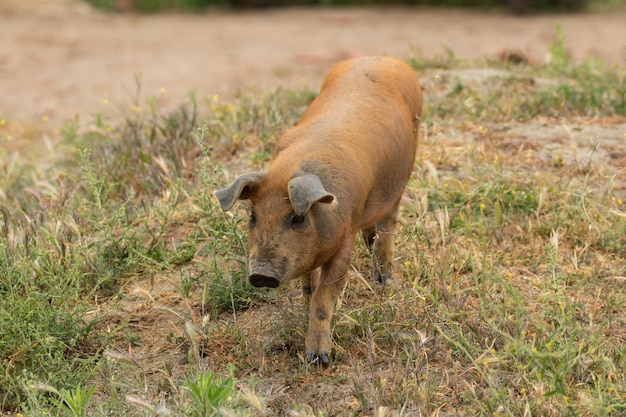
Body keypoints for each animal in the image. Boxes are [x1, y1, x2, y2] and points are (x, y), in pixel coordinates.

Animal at [212, 56, 422, 364]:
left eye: (297, 217)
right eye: (253, 216)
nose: (261, 273)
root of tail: (381, 58)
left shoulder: (344, 242)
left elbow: (324, 297)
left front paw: (317, 359)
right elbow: (309, 287)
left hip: (402, 177)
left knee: (388, 226)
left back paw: (384, 281)